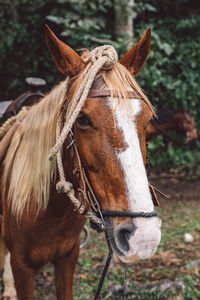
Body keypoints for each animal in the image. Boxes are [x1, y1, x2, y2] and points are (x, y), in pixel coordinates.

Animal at [0, 26, 161, 300]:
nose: (144, 237)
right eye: (82, 120)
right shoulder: (22, 267)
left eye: (148, 120)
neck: (50, 211)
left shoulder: (68, 257)